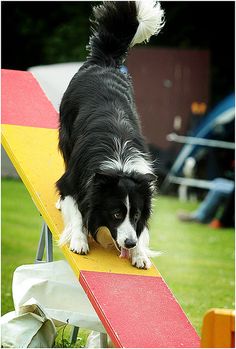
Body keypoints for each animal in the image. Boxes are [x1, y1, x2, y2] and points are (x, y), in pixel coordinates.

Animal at [56, 0, 165, 270]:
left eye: (135, 214)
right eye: (116, 214)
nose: (129, 244)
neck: (120, 164)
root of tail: (104, 61)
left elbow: (144, 231)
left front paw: (141, 254)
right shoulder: (75, 181)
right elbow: (75, 210)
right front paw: (79, 241)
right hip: (66, 134)